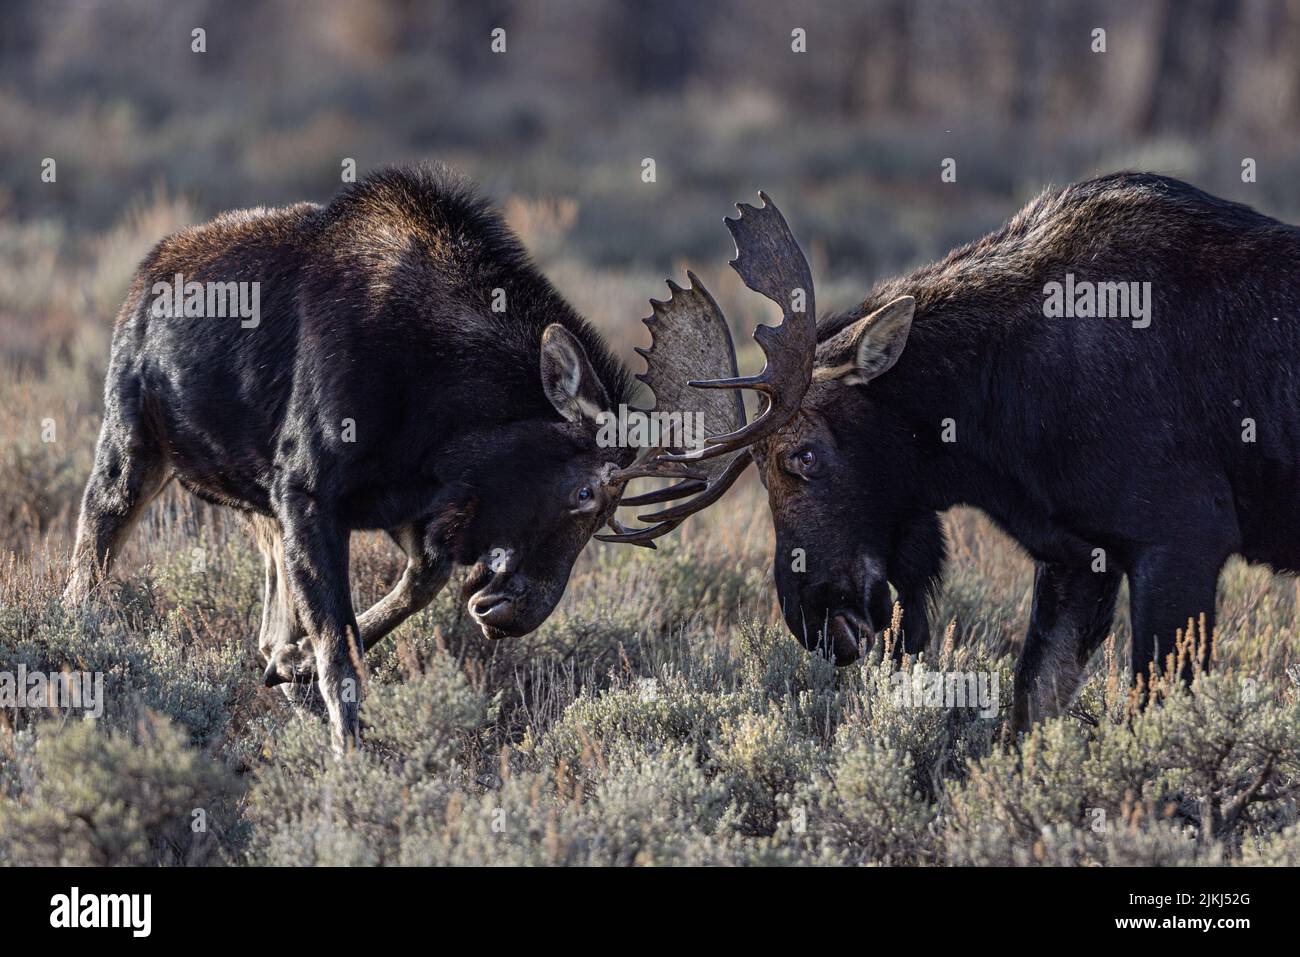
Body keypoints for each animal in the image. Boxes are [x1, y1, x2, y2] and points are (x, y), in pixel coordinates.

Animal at [63, 164, 712, 752]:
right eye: (584, 493)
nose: (517, 613)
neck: (444, 398)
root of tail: (143, 274)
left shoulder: (407, 503)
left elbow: (409, 590)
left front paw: (296, 667)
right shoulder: (307, 492)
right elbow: (341, 651)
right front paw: (351, 758)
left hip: (256, 509)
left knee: (266, 625)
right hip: (131, 449)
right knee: (87, 564)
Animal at [612, 174, 1300, 735]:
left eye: (802, 456)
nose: (814, 619)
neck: (993, 418)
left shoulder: (1182, 540)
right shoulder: (1078, 557)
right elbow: (1029, 709)